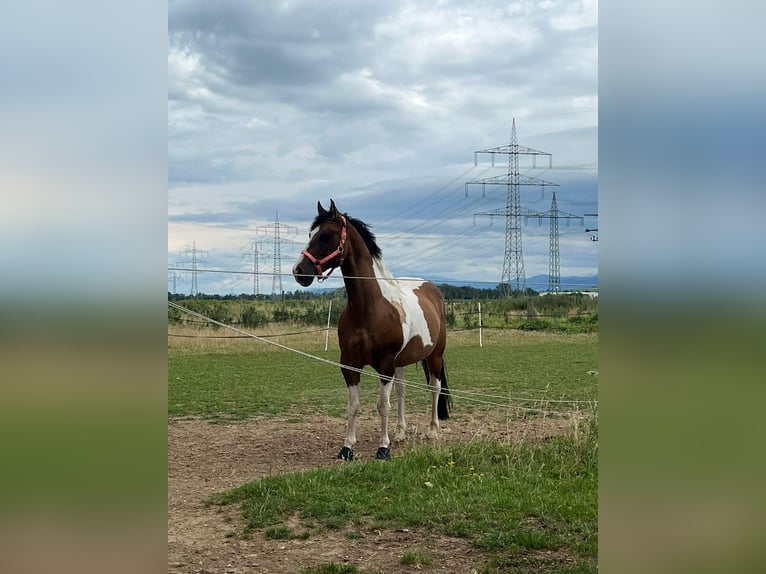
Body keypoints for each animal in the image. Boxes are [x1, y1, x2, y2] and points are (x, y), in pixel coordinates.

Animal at [292, 199, 450, 464]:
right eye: (310, 234)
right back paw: (400, 433)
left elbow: (382, 405)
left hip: (434, 356)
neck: (369, 308)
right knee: (402, 392)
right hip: (401, 362)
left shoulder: (385, 365)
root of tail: (432, 289)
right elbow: (354, 406)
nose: (300, 271)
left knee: (434, 389)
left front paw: (383, 448)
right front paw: (347, 447)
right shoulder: (349, 364)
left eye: (326, 235)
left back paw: (432, 431)